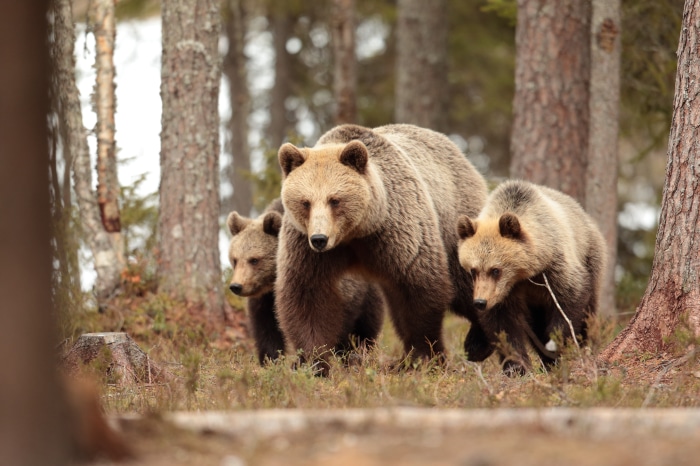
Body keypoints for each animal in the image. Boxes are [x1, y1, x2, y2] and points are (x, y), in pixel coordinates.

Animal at [226, 199, 385, 366]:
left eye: (254, 260)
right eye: (235, 259)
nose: (236, 286)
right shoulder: (266, 298)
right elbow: (266, 328)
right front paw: (271, 360)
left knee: (366, 327)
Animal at [276, 123, 488, 375]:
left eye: (335, 200)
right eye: (305, 202)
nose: (319, 238)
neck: (353, 234)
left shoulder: (396, 234)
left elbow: (419, 291)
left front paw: (425, 356)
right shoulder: (306, 248)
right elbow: (307, 297)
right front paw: (314, 363)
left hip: (456, 220)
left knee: (469, 281)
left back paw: (480, 342)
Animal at [456, 179, 607, 375]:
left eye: (495, 270)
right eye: (473, 270)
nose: (480, 302)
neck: (525, 274)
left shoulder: (555, 269)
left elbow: (569, 302)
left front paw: (556, 348)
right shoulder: (506, 293)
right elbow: (504, 326)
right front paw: (517, 367)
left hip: (591, 255)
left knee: (588, 311)